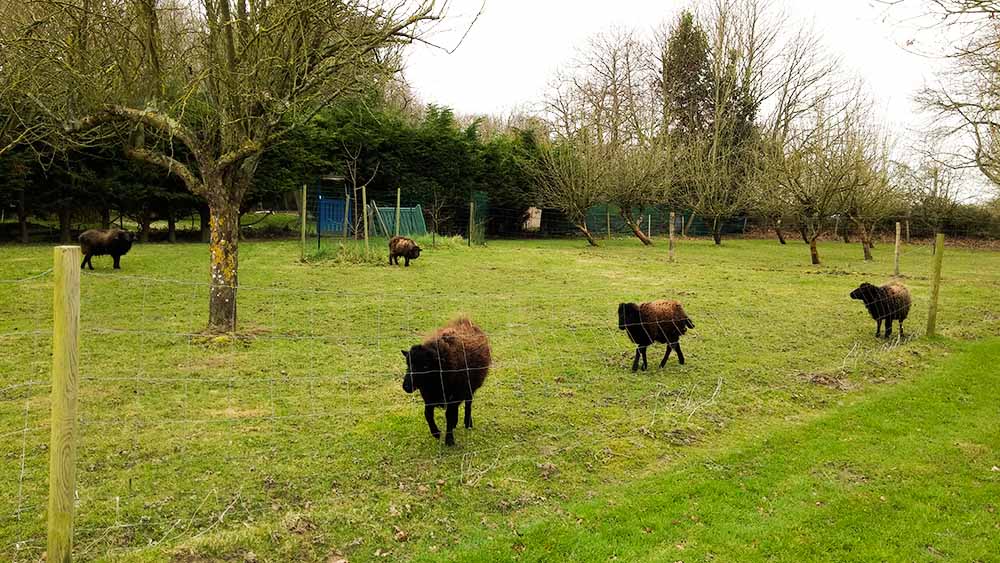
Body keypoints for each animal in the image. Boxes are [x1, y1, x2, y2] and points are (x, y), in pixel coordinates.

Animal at [400, 318, 490, 446]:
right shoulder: (429, 397)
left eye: (425, 366)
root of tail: (465, 321)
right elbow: (428, 414)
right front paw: (436, 433)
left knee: (468, 403)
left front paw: (449, 440)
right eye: (408, 364)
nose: (406, 386)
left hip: (469, 388)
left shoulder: (454, 394)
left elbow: (449, 415)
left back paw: (467, 423)